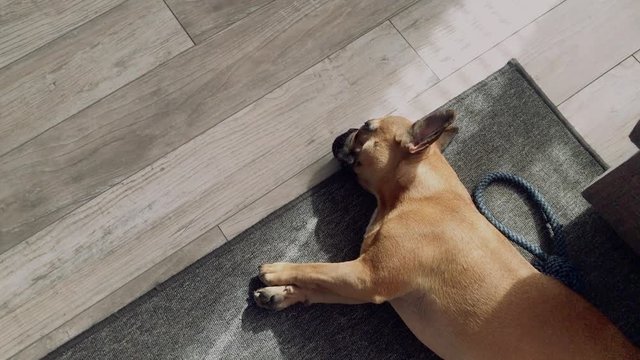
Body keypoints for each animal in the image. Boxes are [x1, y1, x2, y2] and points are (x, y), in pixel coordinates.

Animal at [252, 111, 636, 358]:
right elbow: (322, 286)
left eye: (365, 129)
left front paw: (278, 272)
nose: (345, 130)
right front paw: (283, 294)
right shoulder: (369, 285)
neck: (419, 193)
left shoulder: (367, 276)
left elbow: (318, 269)